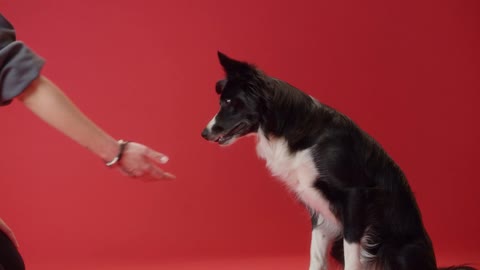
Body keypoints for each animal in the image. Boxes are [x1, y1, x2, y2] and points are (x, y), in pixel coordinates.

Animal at [201, 51, 474, 268]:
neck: (290, 127)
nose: (204, 133)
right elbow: (316, 257)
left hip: (400, 250)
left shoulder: (354, 196)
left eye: (228, 101)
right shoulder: (318, 209)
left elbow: (353, 256)